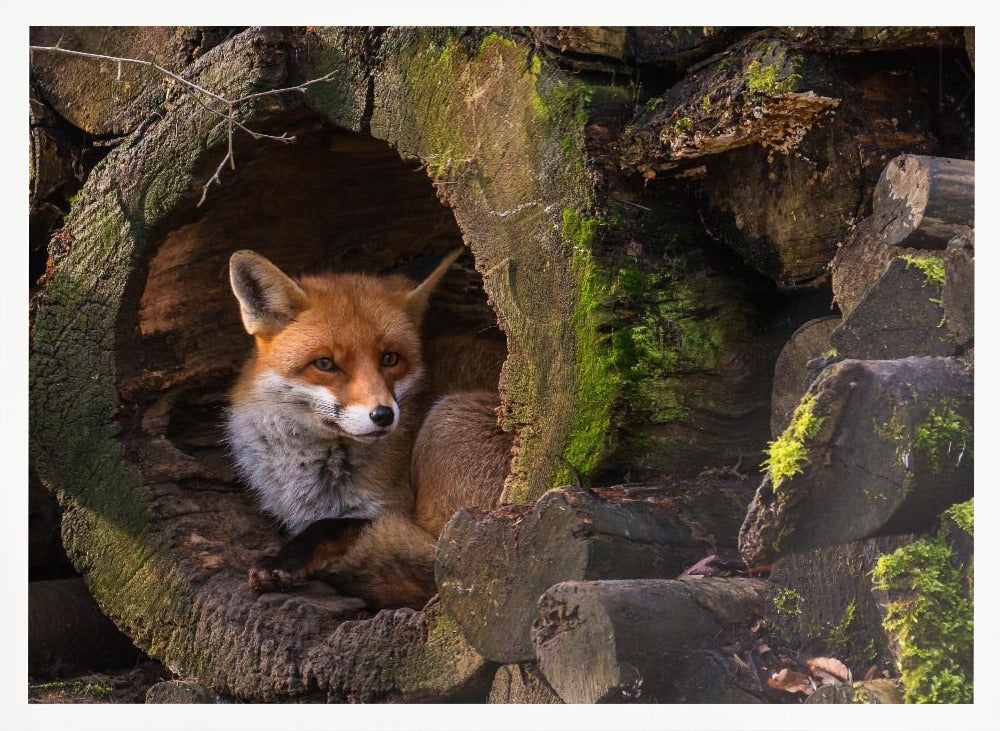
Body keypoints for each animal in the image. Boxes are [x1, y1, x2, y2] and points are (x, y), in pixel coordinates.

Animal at [225, 248, 512, 609]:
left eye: (390, 358)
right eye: (325, 364)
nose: (383, 415)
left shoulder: (391, 509)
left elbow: (330, 526)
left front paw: (283, 560)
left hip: (447, 429)